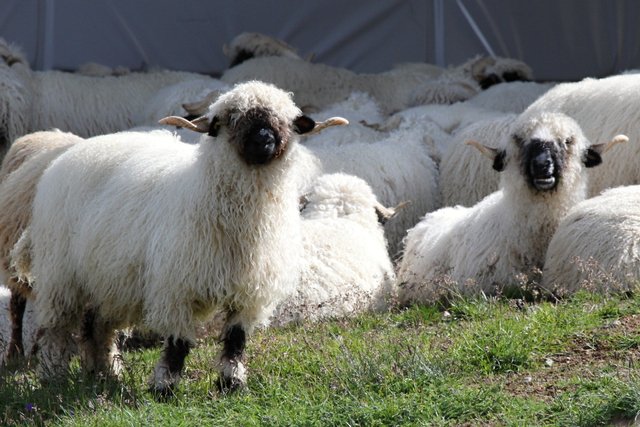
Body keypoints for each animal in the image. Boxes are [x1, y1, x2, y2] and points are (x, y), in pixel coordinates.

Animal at [13, 80, 344, 394]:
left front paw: (231, 383)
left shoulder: (249, 291)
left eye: (285, 120)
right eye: (231, 118)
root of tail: (68, 155)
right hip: (61, 276)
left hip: (109, 279)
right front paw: (164, 387)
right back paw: (53, 377)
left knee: (98, 326)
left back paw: (105, 374)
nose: (263, 140)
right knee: (56, 330)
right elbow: (177, 343)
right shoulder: (176, 287)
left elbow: (236, 340)